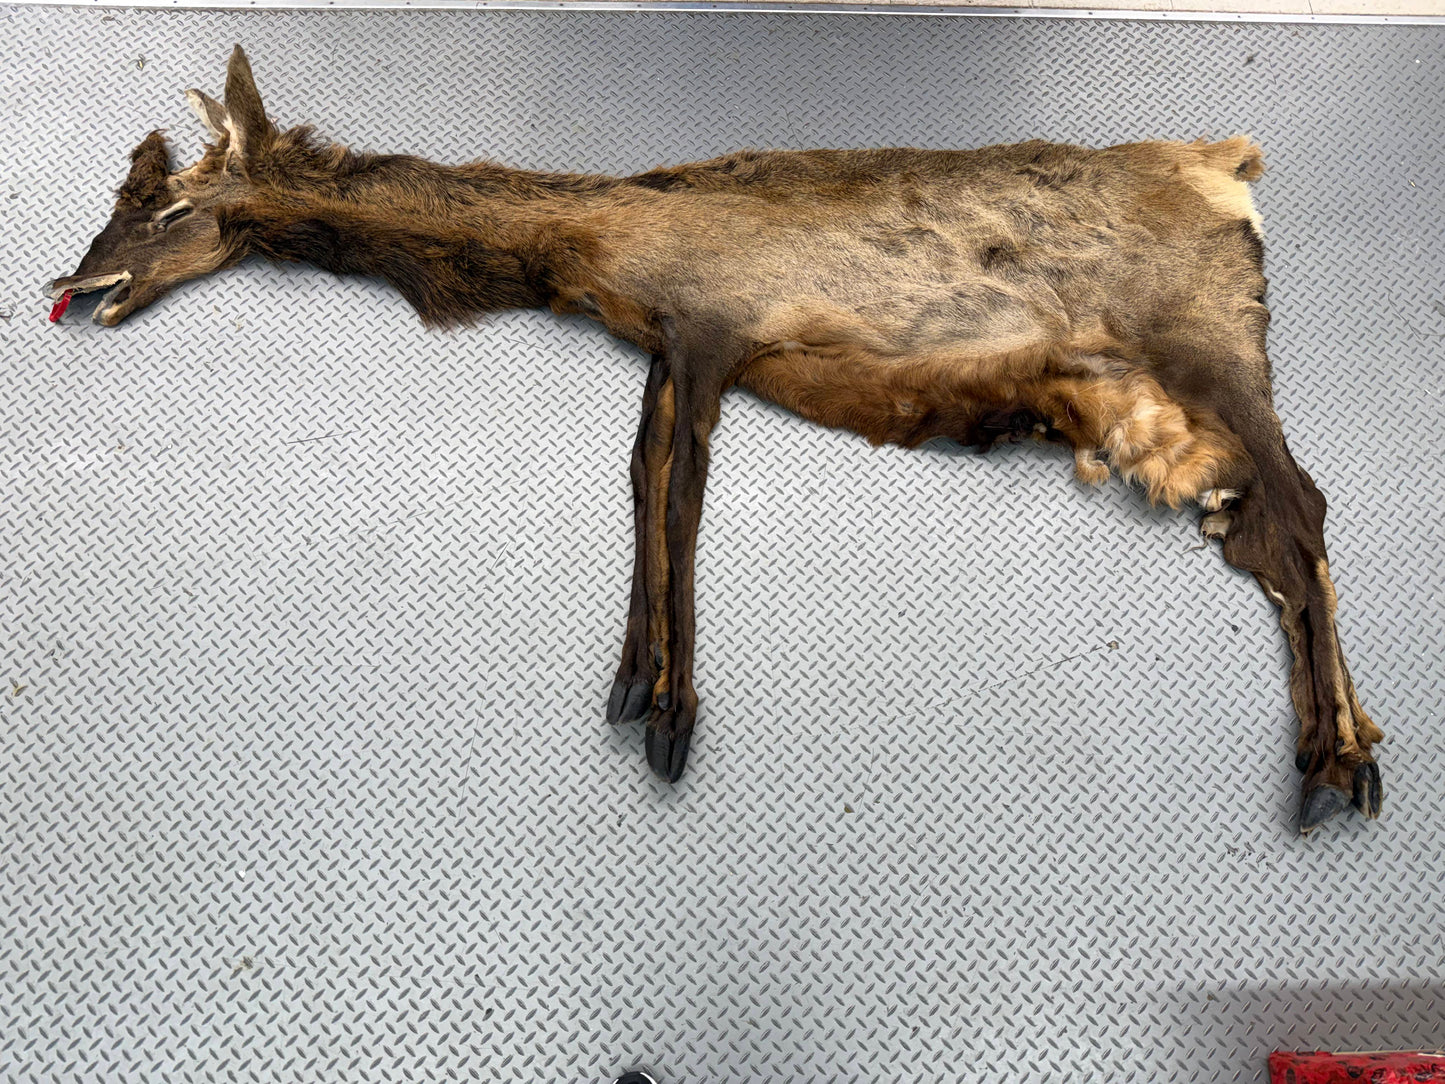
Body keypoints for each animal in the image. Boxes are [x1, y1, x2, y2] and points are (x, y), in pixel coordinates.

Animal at [50, 46, 1385, 834]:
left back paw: (1334, 762)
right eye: (116, 197)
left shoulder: (705, 332)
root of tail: (1230, 164)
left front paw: (668, 712)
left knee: (1307, 511)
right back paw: (1346, 741)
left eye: (167, 206)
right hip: (1154, 411)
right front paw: (631, 679)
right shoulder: (668, 350)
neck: (579, 252)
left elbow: (673, 497)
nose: (68, 283)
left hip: (1212, 344)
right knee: (1264, 538)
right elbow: (643, 488)